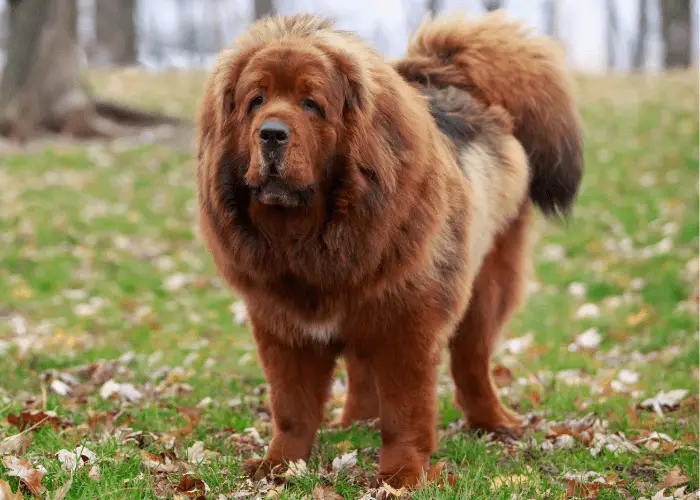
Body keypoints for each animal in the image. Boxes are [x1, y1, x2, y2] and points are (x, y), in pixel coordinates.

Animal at [194, 10, 584, 488]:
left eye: (310, 104)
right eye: (256, 100)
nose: (270, 133)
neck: (311, 242)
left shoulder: (408, 323)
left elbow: (405, 411)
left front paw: (401, 475)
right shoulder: (284, 326)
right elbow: (291, 408)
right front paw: (279, 465)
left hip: (484, 286)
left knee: (471, 363)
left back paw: (495, 423)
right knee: (363, 370)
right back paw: (356, 422)